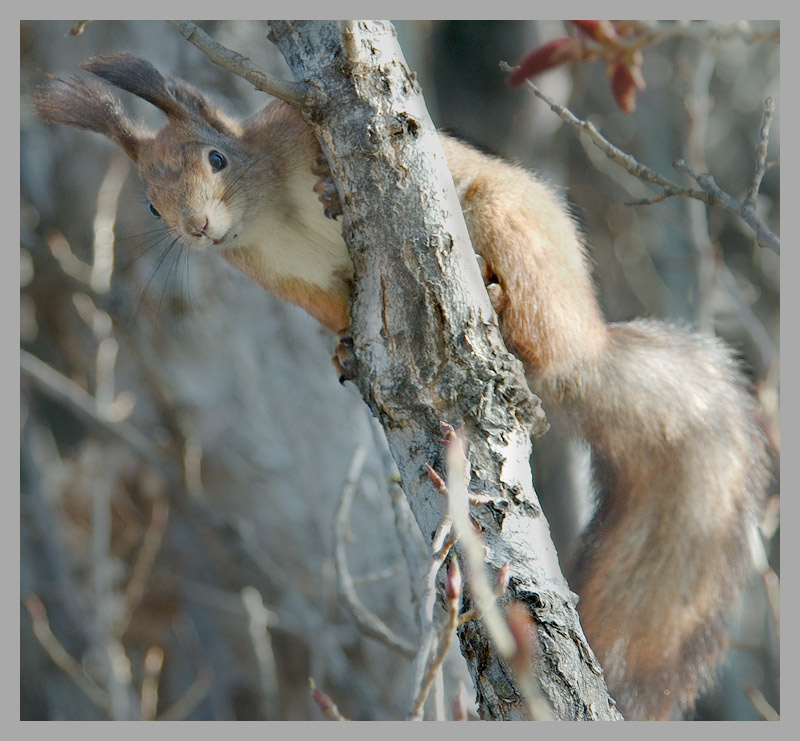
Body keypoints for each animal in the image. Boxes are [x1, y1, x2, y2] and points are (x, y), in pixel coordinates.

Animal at [34, 53, 770, 721]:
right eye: (150, 206)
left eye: (215, 158)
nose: (196, 228)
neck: (269, 212)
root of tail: (589, 345)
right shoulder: (293, 283)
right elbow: (337, 311)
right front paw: (344, 349)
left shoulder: (299, 132)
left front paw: (331, 186)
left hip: (512, 227)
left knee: (536, 332)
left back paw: (502, 306)